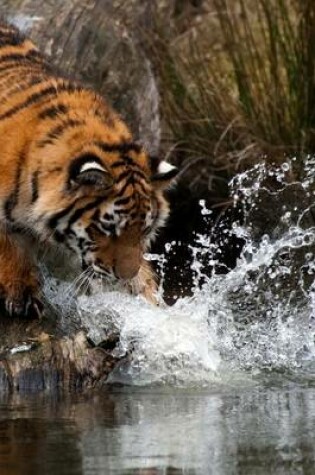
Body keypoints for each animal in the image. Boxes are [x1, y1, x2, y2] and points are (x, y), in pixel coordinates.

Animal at [0, 23, 178, 320]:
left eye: (143, 230)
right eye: (108, 229)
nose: (124, 276)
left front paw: (148, 296)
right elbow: (10, 246)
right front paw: (22, 292)